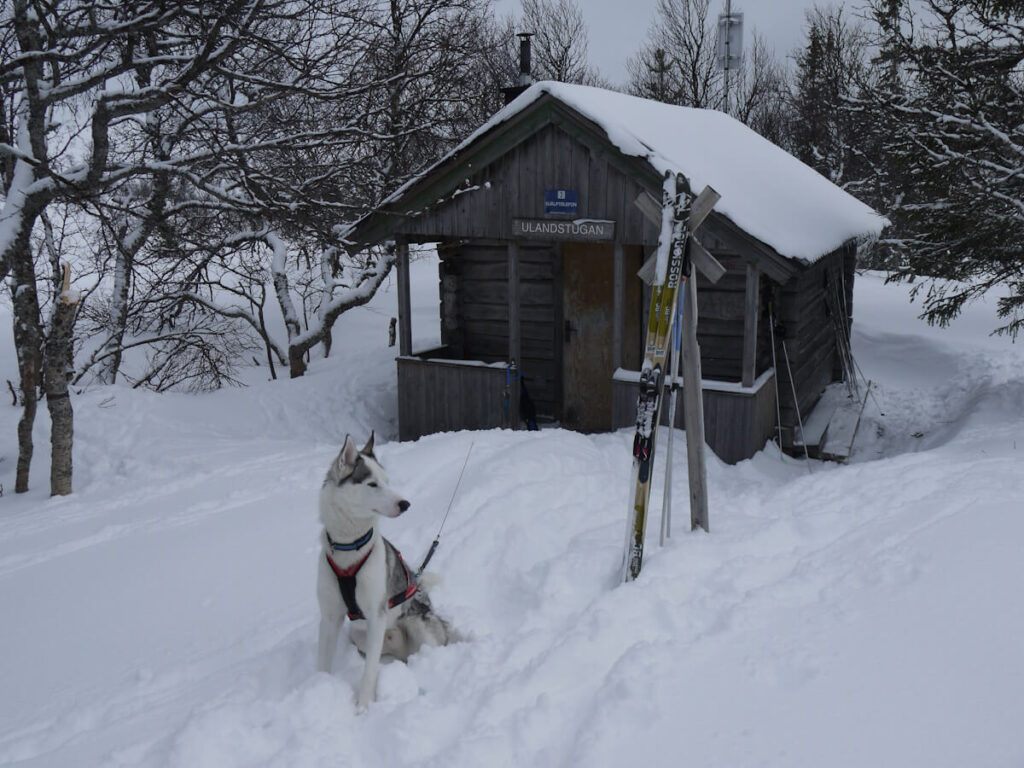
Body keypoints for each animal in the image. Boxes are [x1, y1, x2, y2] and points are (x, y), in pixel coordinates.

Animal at [315, 436, 452, 712]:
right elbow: (324, 661)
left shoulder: (376, 616)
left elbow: (368, 674)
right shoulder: (330, 616)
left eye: (388, 482)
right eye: (372, 484)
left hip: (419, 627)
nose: (405, 504)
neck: (349, 547)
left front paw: (363, 708)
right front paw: (319, 690)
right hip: (359, 634)